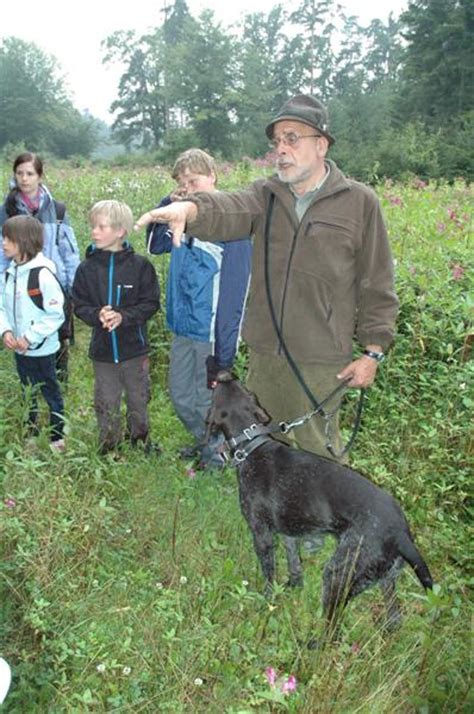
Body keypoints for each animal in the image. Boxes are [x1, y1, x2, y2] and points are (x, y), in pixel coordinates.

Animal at [206, 372, 434, 640]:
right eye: (243, 389)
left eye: (217, 392)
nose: (224, 374)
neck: (252, 445)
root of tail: (402, 533)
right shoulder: (288, 533)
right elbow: (294, 565)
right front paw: (292, 587)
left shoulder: (261, 534)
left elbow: (269, 575)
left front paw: (267, 601)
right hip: (385, 576)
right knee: (394, 616)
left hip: (338, 574)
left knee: (333, 629)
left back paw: (314, 644)